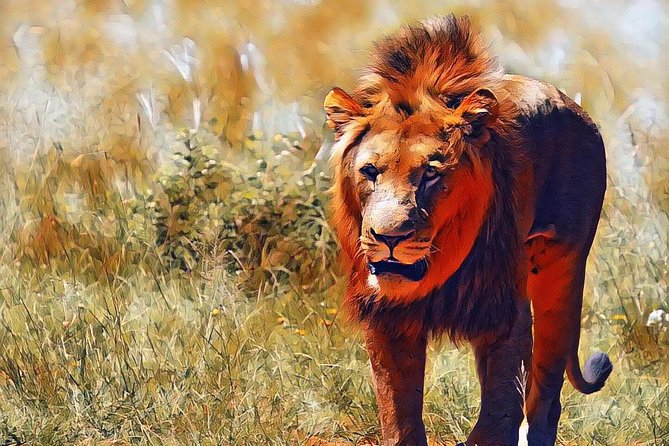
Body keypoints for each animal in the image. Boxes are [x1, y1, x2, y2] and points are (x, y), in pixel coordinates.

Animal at [323, 15, 612, 446]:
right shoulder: (387, 319)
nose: (389, 238)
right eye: (370, 172)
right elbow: (398, 415)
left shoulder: (502, 309)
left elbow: (499, 410)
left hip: (561, 270)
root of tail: (577, 107)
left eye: (431, 173)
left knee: (545, 392)